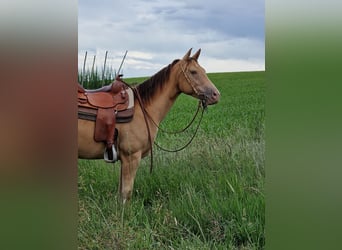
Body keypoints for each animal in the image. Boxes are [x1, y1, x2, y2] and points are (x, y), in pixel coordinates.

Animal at [78, 48, 220, 203]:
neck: (142, 108)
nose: (216, 95)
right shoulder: (131, 157)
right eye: (193, 72)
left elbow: (121, 192)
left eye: (204, 70)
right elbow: (126, 193)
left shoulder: (124, 160)